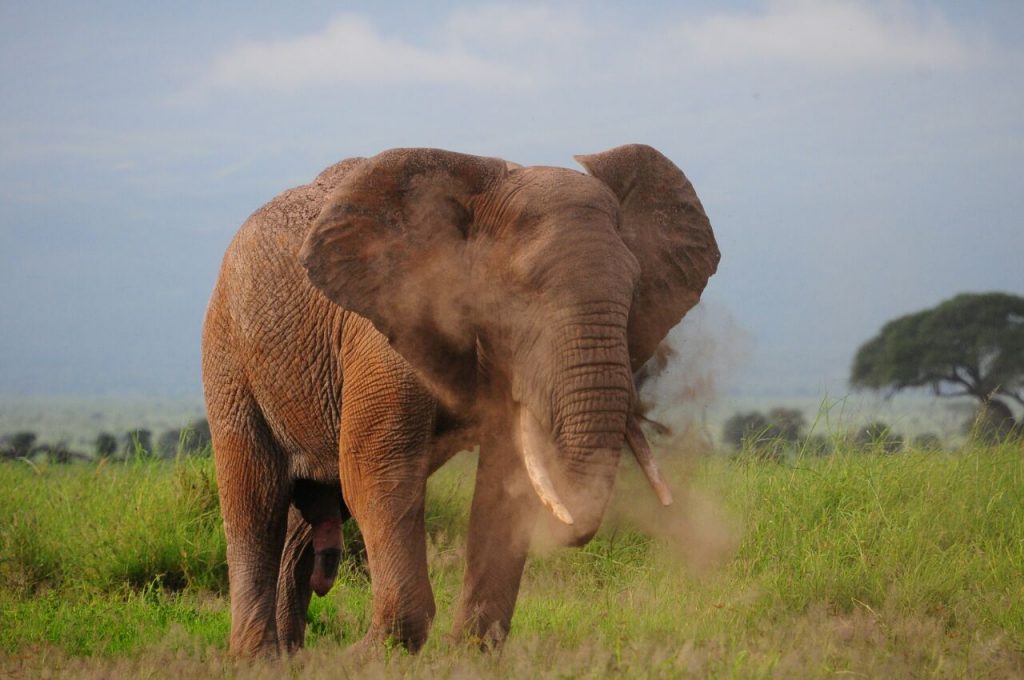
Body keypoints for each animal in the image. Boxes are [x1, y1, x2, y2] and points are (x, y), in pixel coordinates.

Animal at [199, 142, 720, 655]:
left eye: (635, 289)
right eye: (518, 293)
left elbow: (506, 479)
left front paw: (470, 652)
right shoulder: (386, 326)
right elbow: (377, 467)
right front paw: (373, 655)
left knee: (311, 508)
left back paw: (293, 656)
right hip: (228, 345)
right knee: (256, 497)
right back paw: (259, 659)